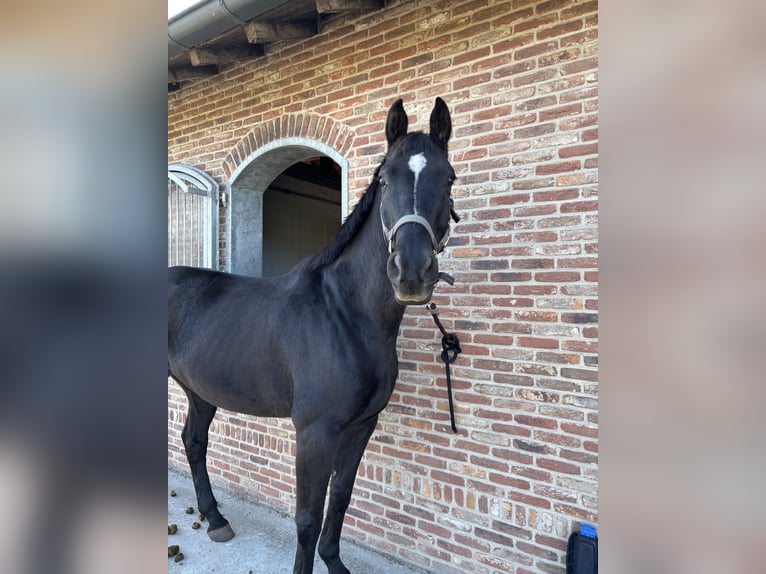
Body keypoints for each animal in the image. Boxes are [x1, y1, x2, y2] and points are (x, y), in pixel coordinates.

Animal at [168, 97, 457, 574]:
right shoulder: (314, 433)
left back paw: (215, 520)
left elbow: (340, 497)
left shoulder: (361, 426)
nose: (412, 272)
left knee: (193, 441)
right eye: (384, 178)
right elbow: (307, 515)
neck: (344, 314)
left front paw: (335, 562)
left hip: (200, 391)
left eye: (448, 177)